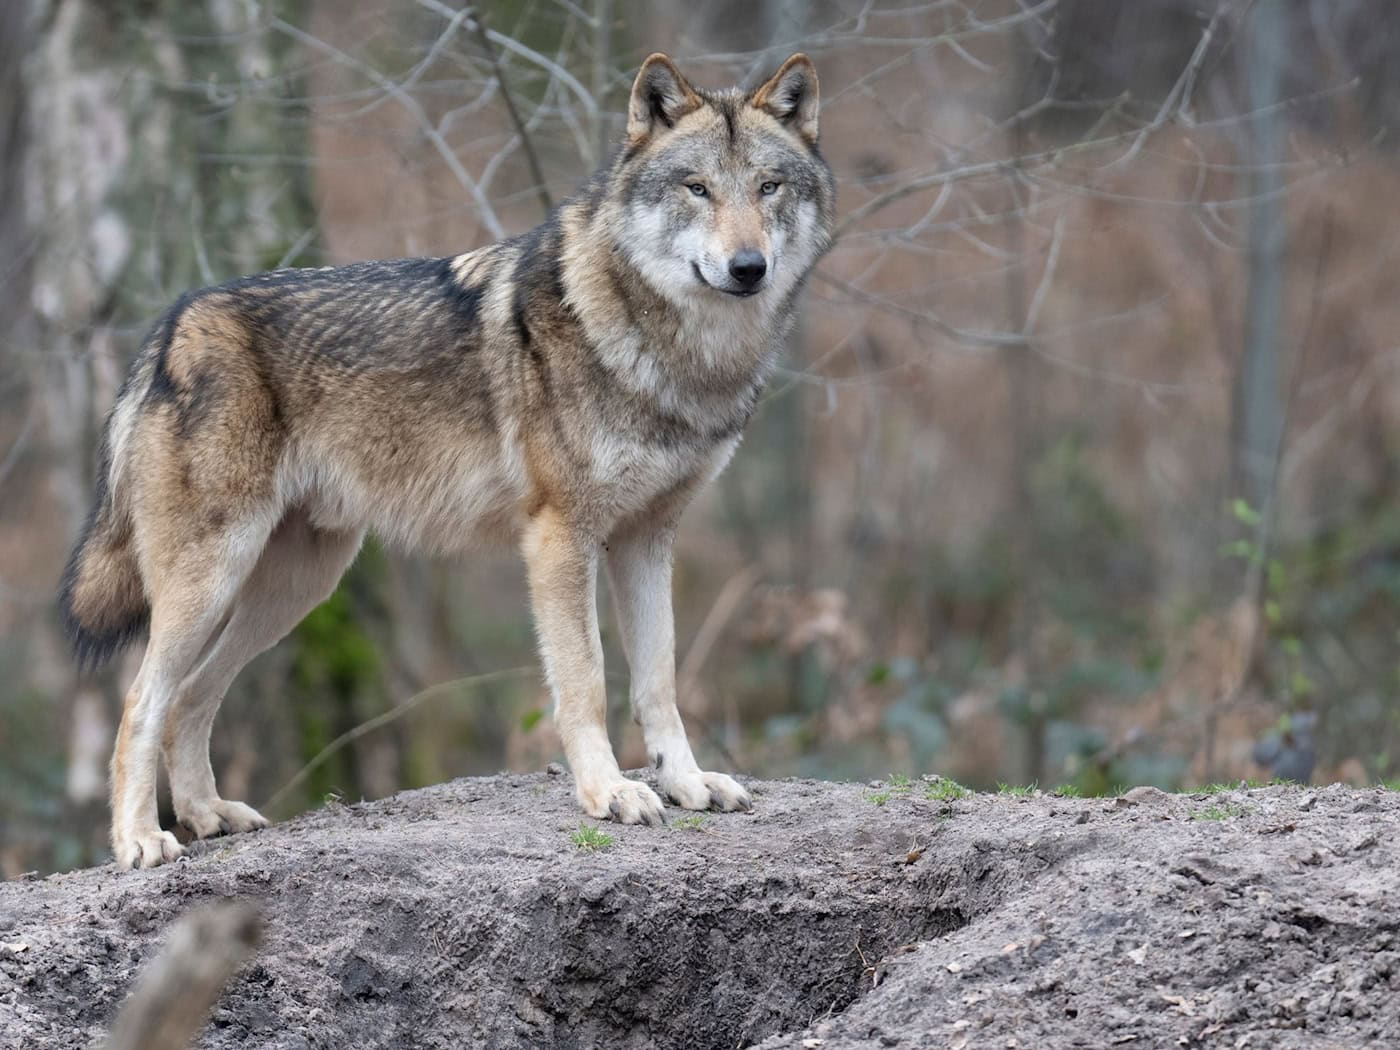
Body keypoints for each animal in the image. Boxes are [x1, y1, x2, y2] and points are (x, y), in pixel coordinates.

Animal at [59, 53, 836, 869]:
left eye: (768, 187)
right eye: (697, 188)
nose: (747, 267)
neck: (675, 356)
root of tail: (170, 326)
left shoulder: (648, 541)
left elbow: (658, 682)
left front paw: (686, 783)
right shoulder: (561, 538)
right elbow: (587, 682)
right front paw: (609, 793)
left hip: (294, 588)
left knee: (191, 698)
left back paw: (209, 815)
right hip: (214, 580)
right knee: (142, 701)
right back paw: (139, 840)